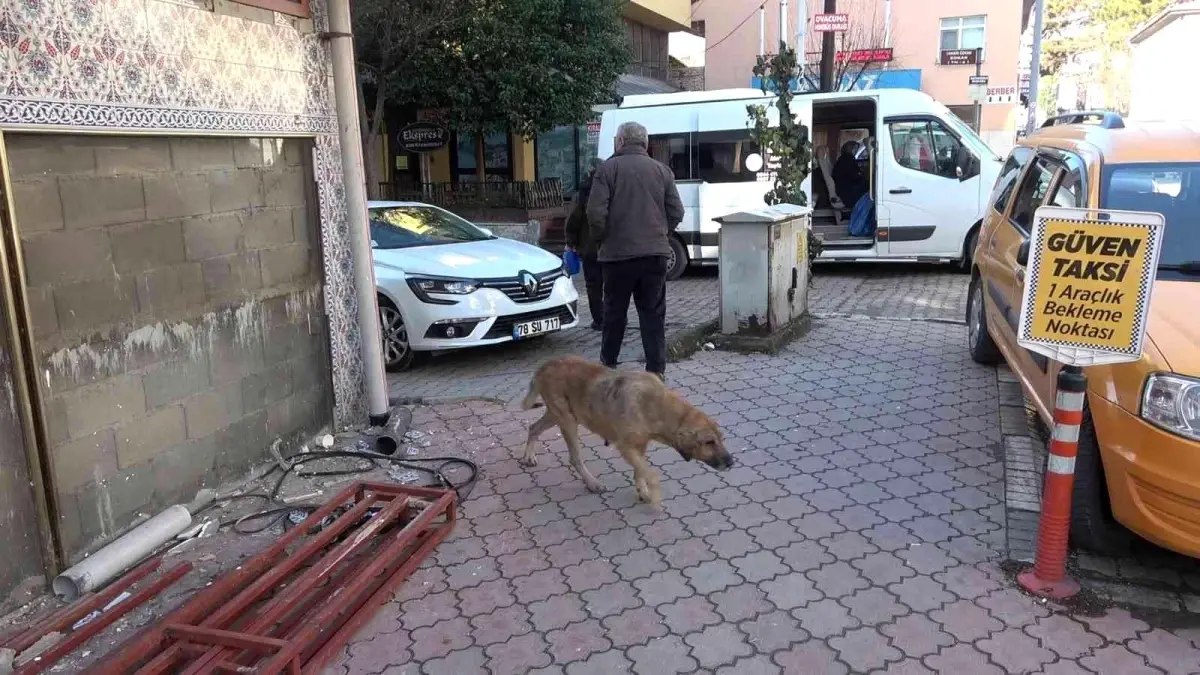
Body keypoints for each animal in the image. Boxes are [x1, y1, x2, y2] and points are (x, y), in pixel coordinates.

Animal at [518, 357, 729, 504]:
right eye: (709, 442)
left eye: (721, 438)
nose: (731, 462)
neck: (657, 405)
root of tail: (546, 364)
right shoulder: (626, 447)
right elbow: (651, 474)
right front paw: (653, 497)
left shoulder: (640, 445)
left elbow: (640, 471)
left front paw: (642, 491)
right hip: (567, 420)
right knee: (574, 458)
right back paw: (592, 483)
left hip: (558, 415)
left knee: (533, 428)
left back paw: (529, 456)